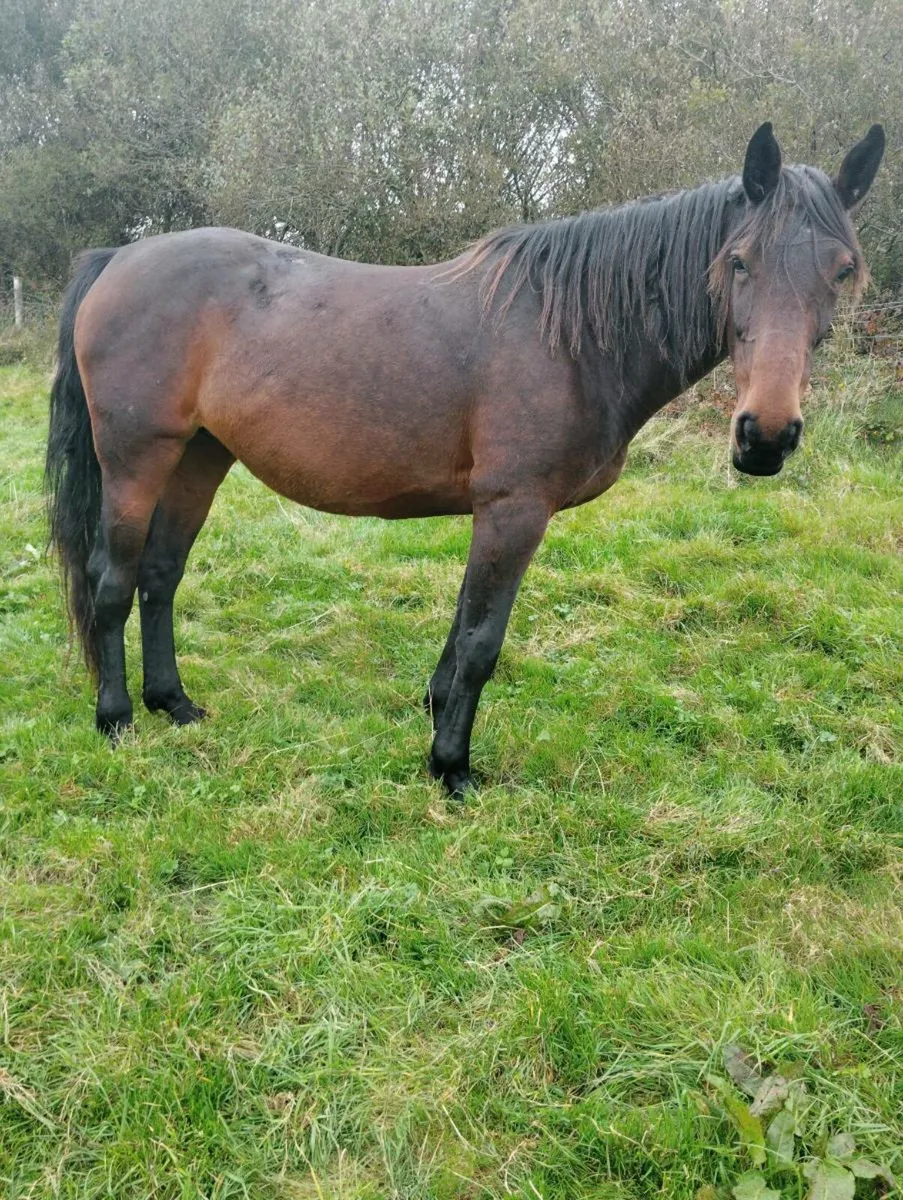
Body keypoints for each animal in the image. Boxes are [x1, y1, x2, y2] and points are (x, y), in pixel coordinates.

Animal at [45, 122, 884, 795]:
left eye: (841, 269)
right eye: (738, 261)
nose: (764, 437)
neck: (570, 335)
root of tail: (119, 259)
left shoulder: (497, 515)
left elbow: (461, 625)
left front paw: (433, 712)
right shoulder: (514, 509)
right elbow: (483, 640)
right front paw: (450, 767)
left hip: (200, 456)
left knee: (161, 575)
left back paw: (175, 704)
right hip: (136, 457)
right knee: (113, 579)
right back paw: (116, 719)